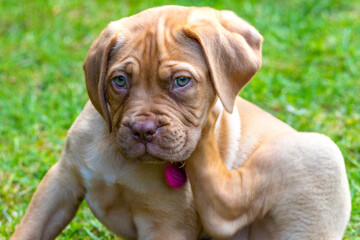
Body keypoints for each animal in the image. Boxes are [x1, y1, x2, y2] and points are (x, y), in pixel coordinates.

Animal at [9, 5, 350, 240]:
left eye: (182, 81)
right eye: (119, 81)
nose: (143, 130)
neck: (122, 161)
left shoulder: (167, 227)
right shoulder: (62, 180)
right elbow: (29, 229)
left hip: (318, 152)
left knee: (224, 210)